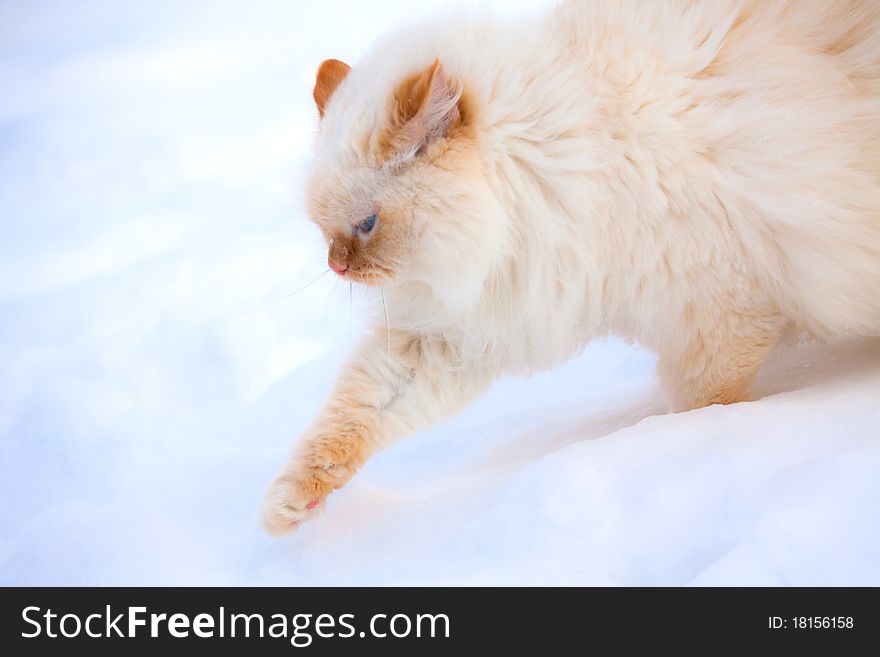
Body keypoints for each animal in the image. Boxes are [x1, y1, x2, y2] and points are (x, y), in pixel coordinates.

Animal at [262, 0, 880, 532]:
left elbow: (706, 405)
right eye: (325, 232)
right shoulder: (451, 331)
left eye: (367, 224)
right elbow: (354, 415)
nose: (336, 267)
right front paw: (292, 502)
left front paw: (701, 440)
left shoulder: (720, 314)